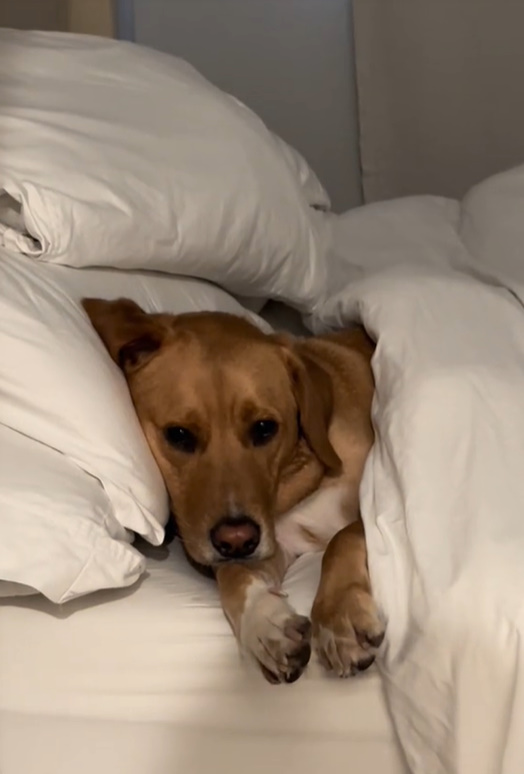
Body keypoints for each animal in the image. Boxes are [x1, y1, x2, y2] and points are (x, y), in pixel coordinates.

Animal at [83, 300, 384, 688]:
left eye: (264, 428)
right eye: (179, 435)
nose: (237, 539)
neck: (300, 469)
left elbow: (344, 536)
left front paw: (337, 617)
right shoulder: (276, 541)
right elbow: (234, 574)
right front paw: (264, 618)